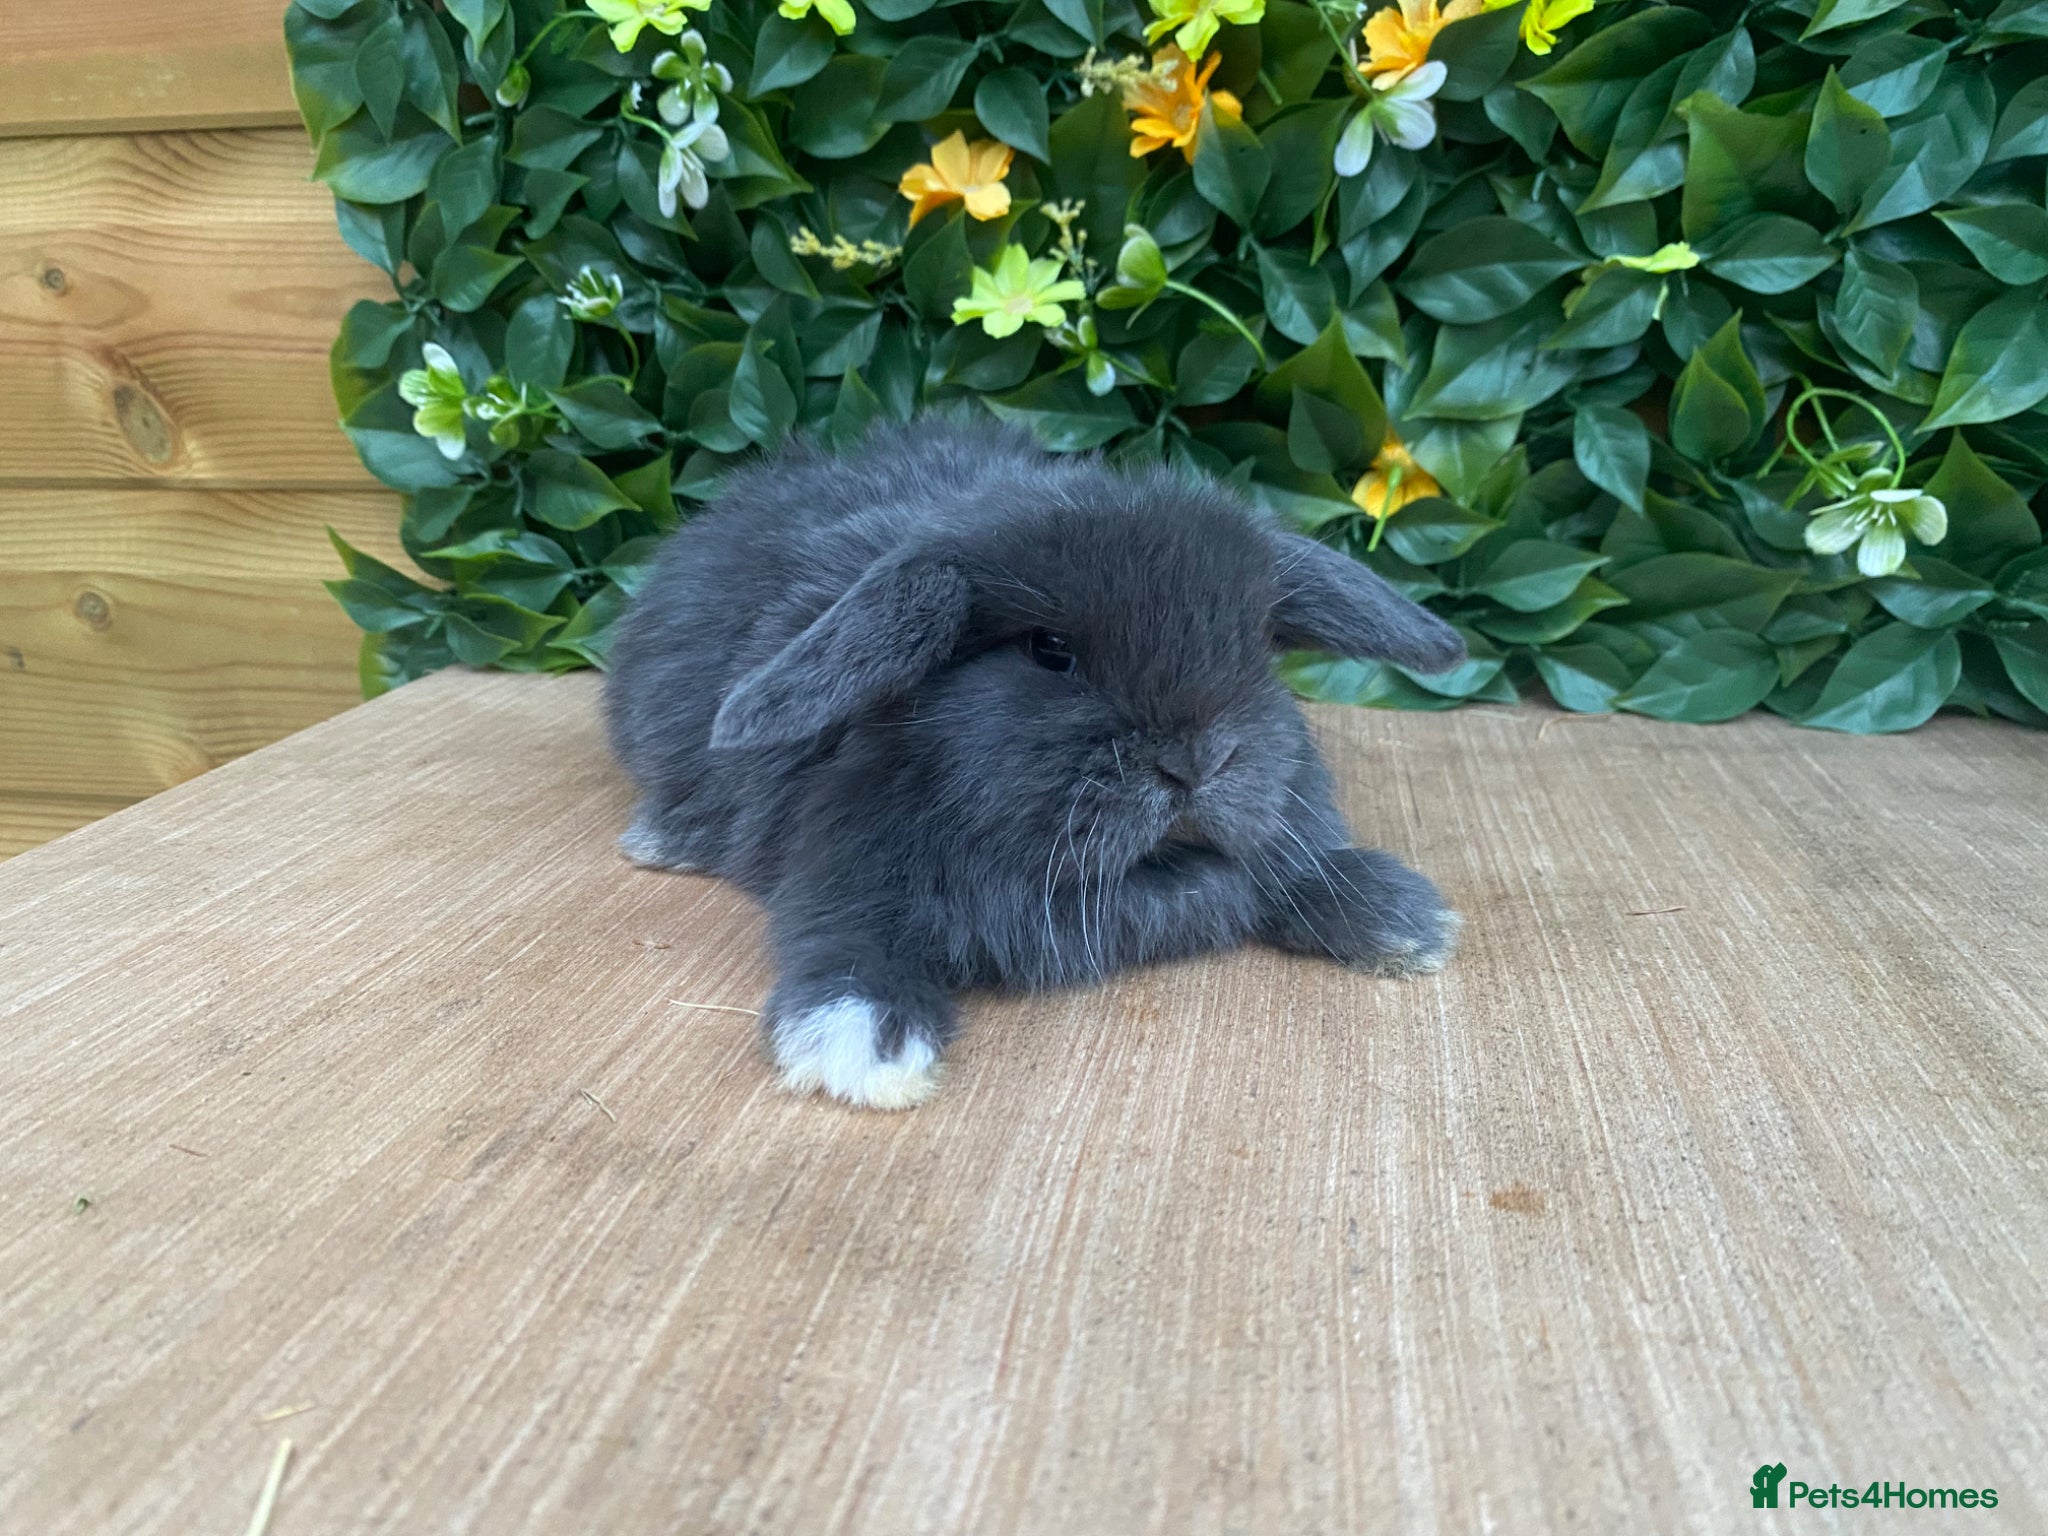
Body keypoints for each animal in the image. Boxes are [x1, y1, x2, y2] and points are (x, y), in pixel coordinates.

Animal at [604, 417, 1466, 1109]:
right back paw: (664, 841)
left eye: (1255, 646)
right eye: (1049, 650)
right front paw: (866, 1042)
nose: (1196, 762)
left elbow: (1302, 870)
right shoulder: (841, 866)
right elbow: (841, 937)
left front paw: (1396, 918)